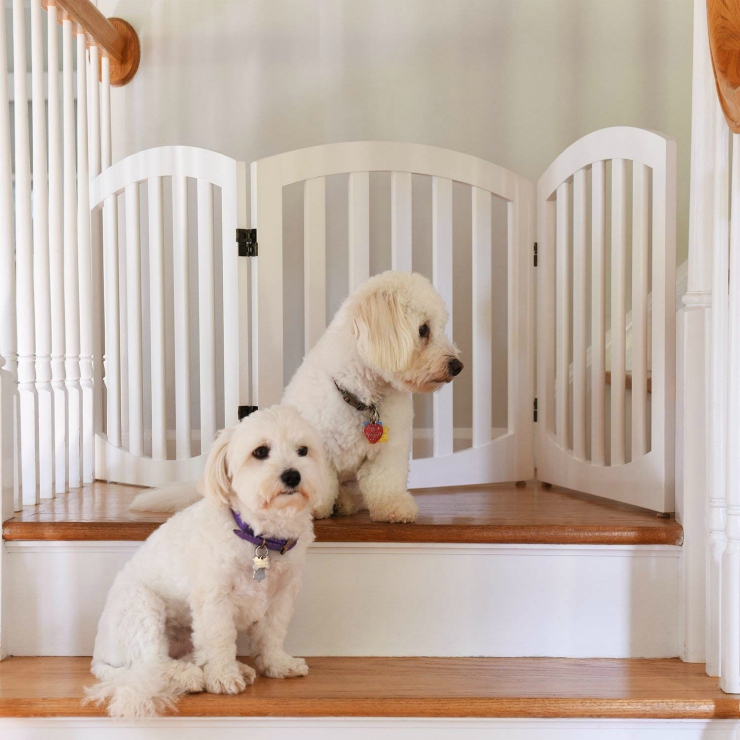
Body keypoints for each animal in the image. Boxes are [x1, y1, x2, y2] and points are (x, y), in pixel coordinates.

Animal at [86, 404, 326, 716]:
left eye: (303, 450)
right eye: (260, 451)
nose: (292, 475)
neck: (259, 537)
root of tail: (98, 655)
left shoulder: (281, 596)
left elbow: (272, 634)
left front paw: (277, 664)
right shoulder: (214, 599)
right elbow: (219, 638)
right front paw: (223, 677)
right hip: (142, 607)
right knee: (151, 665)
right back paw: (188, 677)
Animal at [130, 274, 460, 528]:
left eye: (440, 326)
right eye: (423, 330)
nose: (458, 366)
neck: (362, 397)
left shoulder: (389, 451)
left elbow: (386, 482)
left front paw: (394, 508)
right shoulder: (320, 448)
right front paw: (316, 508)